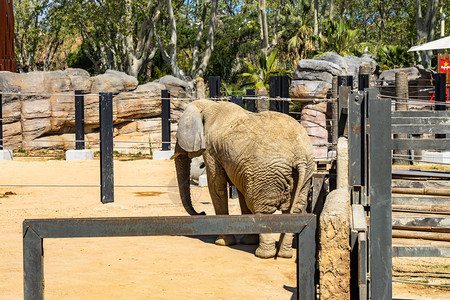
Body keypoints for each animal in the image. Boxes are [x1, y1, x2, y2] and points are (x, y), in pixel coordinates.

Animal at [172, 99, 312, 258]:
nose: (202, 212)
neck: (209, 105)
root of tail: (299, 155)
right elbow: (240, 192)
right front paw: (248, 242)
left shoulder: (211, 149)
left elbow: (216, 186)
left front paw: (222, 243)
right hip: (304, 172)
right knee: (293, 211)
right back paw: (284, 255)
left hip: (266, 173)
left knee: (261, 208)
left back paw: (263, 255)